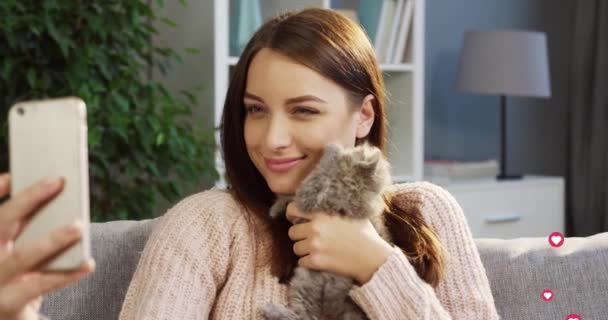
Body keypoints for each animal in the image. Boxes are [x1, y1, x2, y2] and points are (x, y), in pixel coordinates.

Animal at [260, 143, 394, 320]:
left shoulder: (309, 197)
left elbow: (294, 195)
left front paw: (274, 209)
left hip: (303, 282)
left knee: (302, 316)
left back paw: (269, 309)